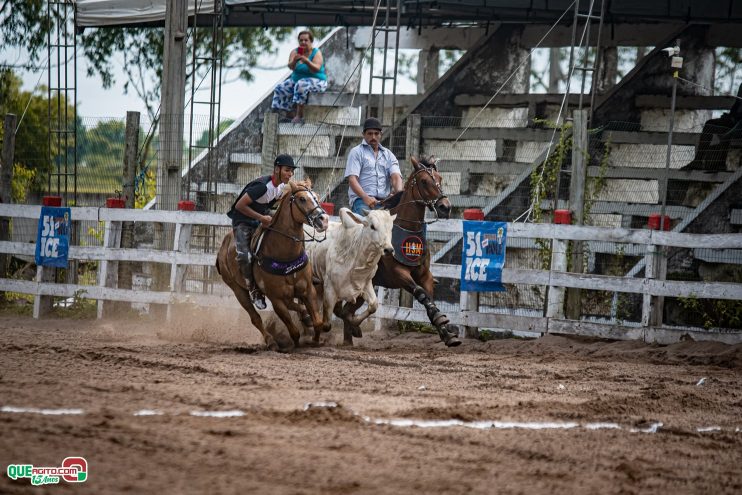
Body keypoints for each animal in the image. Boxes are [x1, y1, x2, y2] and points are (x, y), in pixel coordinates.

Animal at [217, 179, 330, 352]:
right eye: (302, 199)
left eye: (316, 197)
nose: (323, 219)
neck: (284, 254)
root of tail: (222, 248)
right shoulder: (276, 299)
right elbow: (293, 330)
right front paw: (295, 343)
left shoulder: (308, 289)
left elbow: (317, 322)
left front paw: (316, 340)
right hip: (237, 290)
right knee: (255, 318)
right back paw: (271, 341)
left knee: (295, 305)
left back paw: (304, 317)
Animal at [308, 207, 398, 342]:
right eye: (372, 226)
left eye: (391, 227)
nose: (389, 250)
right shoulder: (329, 288)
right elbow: (327, 324)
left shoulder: (365, 284)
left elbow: (373, 306)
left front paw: (355, 325)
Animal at [340, 157, 462, 346]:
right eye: (424, 181)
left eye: (440, 178)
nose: (445, 207)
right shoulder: (397, 274)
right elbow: (421, 293)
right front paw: (442, 322)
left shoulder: (425, 275)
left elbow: (429, 298)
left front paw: (446, 332)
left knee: (347, 311)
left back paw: (350, 338)